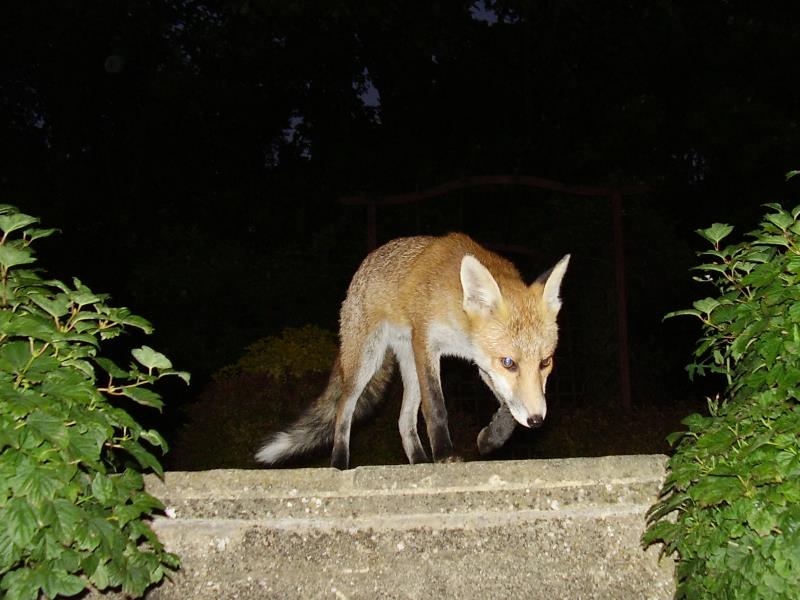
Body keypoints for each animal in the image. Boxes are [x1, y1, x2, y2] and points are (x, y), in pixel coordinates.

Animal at [256, 232, 568, 472]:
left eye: (545, 362)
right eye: (509, 362)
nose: (537, 421)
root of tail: (364, 265)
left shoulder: (481, 362)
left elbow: (508, 409)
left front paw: (491, 439)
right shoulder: (426, 341)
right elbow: (436, 407)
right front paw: (444, 454)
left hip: (408, 365)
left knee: (404, 420)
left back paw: (419, 461)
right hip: (368, 361)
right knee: (344, 409)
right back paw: (339, 463)